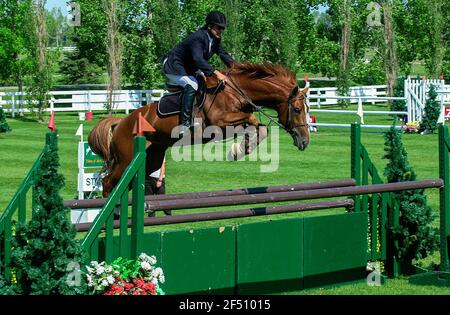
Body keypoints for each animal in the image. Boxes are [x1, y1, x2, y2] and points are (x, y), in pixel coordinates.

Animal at [89, 62, 312, 198]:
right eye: (297, 109)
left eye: (308, 110)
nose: (305, 142)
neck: (235, 92)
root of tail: (121, 123)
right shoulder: (220, 123)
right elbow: (251, 119)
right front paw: (238, 150)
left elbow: (260, 128)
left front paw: (243, 149)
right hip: (126, 159)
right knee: (108, 182)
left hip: (151, 157)